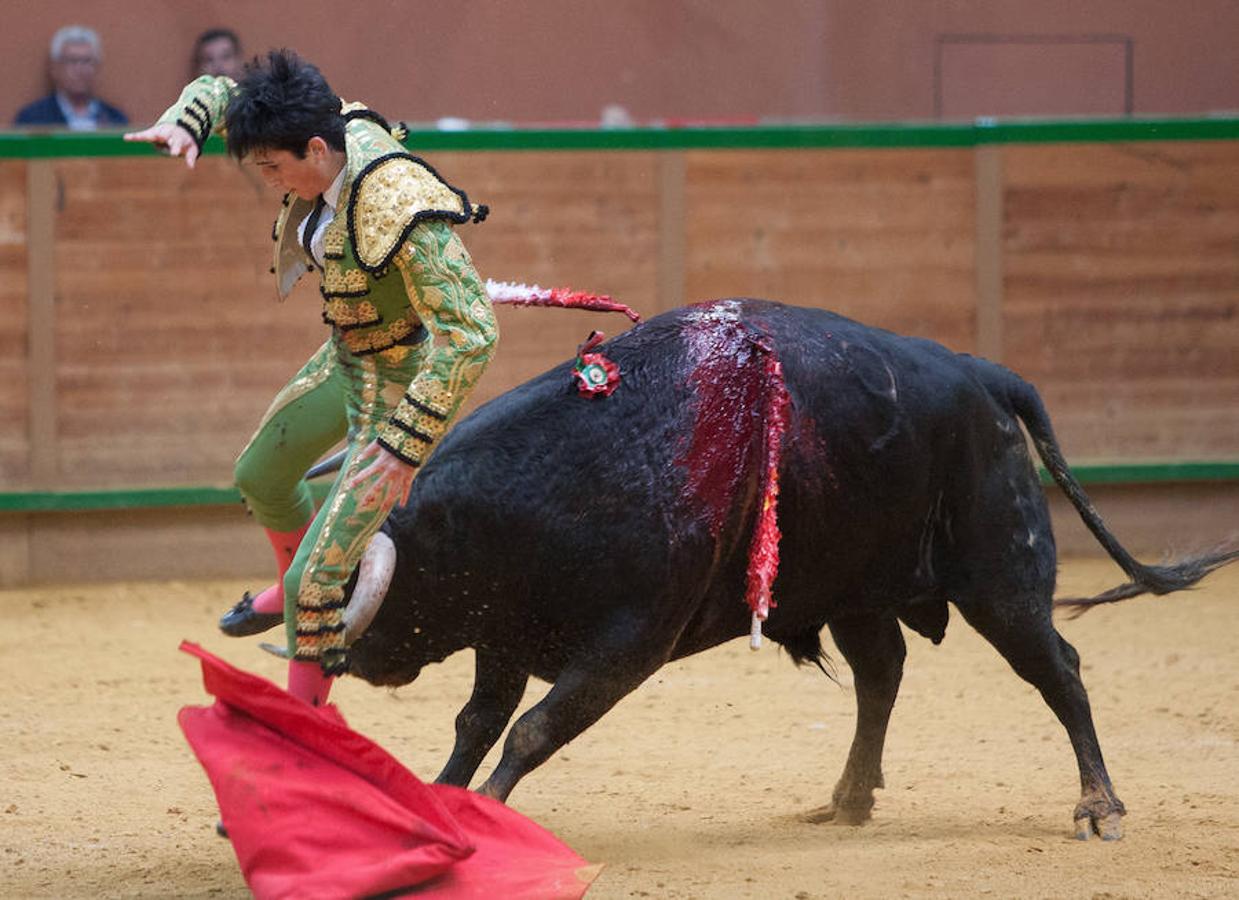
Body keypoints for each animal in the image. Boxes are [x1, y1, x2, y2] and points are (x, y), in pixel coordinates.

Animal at [337, 300, 1229, 842]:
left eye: (390, 585)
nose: (350, 655)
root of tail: (981, 373)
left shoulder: (626, 645)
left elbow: (531, 728)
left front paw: (484, 811)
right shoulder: (507, 632)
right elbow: (477, 722)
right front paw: (442, 799)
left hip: (1000, 580)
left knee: (1058, 670)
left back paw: (1097, 807)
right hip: (856, 587)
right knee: (882, 672)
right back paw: (847, 798)